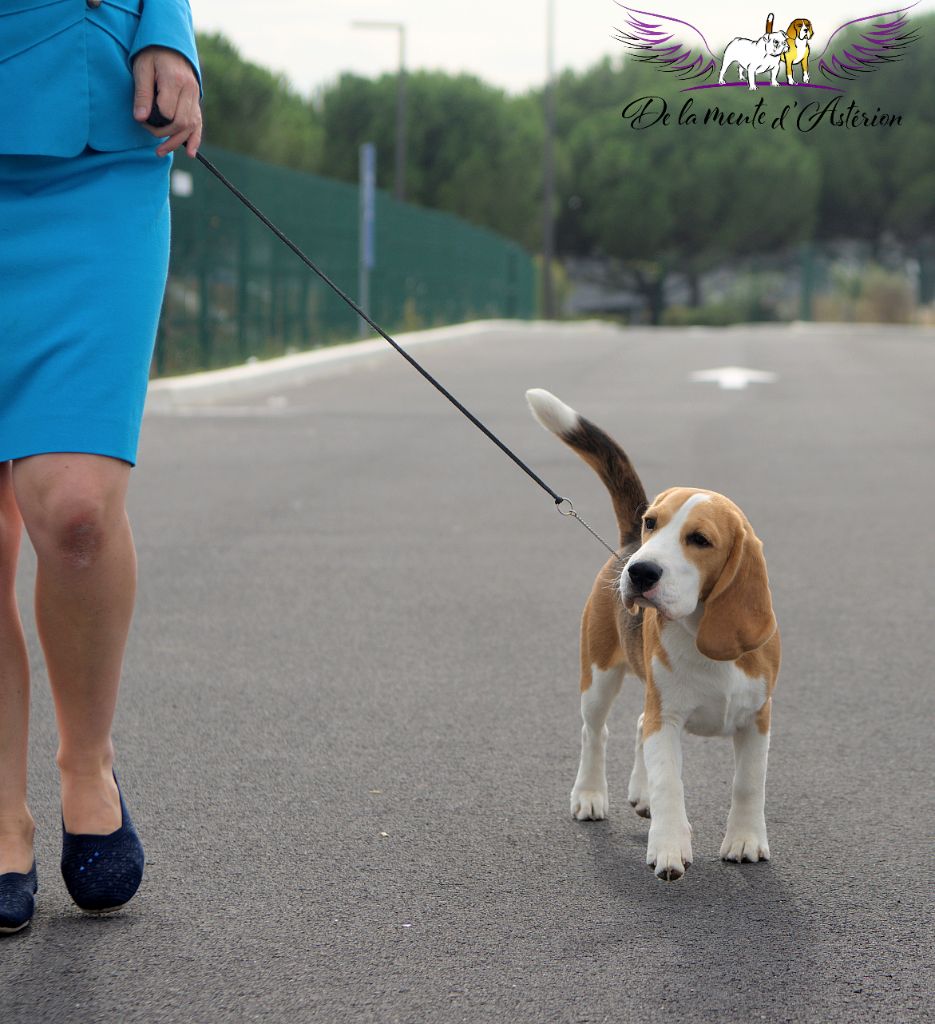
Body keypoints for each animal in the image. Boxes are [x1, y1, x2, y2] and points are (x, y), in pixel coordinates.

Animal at [524, 389, 782, 880]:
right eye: (653, 523)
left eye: (699, 539)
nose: (639, 572)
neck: (699, 631)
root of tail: (623, 544)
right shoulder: (669, 719)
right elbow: (670, 785)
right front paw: (669, 845)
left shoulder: (757, 719)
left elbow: (749, 783)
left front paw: (744, 840)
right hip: (598, 675)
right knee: (595, 732)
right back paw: (590, 795)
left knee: (639, 721)